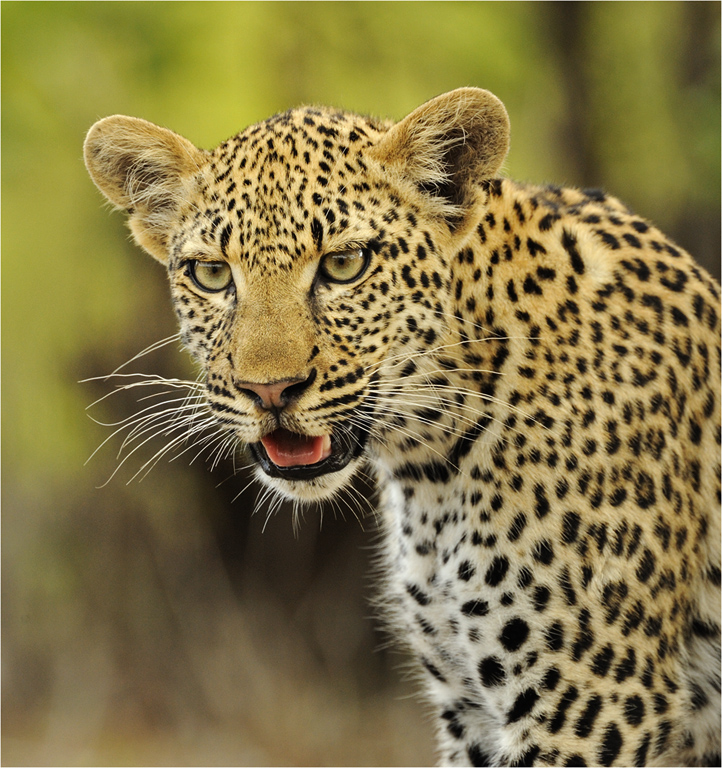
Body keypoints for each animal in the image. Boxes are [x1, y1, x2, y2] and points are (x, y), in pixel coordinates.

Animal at [84, 88, 720, 767]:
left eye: (344, 264)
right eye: (211, 274)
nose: (268, 390)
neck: (430, 465)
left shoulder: (591, 697)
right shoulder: (469, 703)